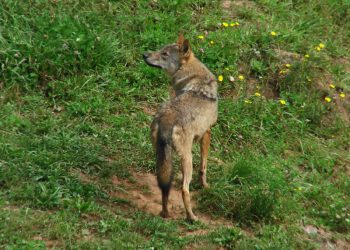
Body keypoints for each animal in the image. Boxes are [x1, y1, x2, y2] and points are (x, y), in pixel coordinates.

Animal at [144, 33, 217, 221]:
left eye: (164, 53)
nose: (144, 54)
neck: (194, 77)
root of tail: (166, 118)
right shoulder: (207, 133)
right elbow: (203, 167)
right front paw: (205, 186)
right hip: (187, 159)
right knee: (184, 190)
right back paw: (191, 218)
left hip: (161, 157)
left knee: (164, 185)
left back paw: (165, 214)